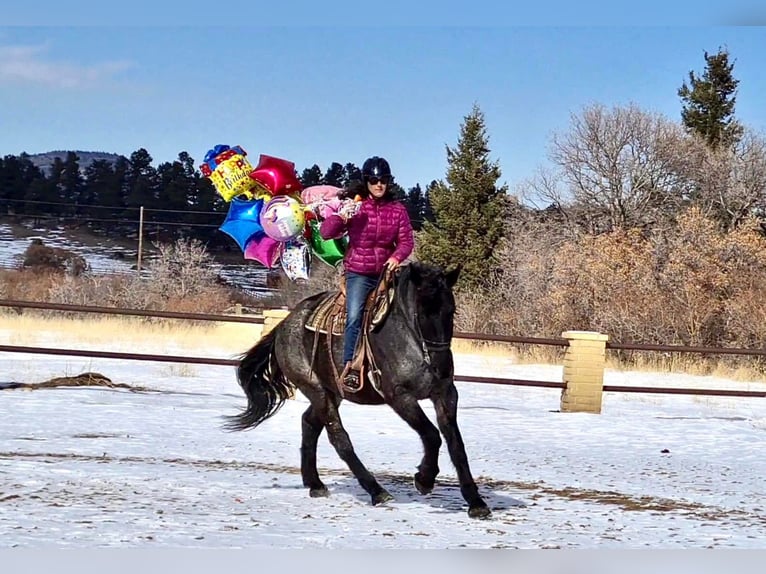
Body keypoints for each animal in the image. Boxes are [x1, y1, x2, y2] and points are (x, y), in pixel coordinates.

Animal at [226, 264, 492, 520]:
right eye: (423, 312)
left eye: (451, 311)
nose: (441, 366)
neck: (409, 339)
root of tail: (284, 325)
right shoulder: (399, 396)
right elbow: (432, 434)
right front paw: (424, 479)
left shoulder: (445, 394)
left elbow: (456, 445)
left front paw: (476, 503)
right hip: (316, 389)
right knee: (339, 438)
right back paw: (376, 491)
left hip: (331, 392)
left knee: (309, 423)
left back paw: (315, 483)